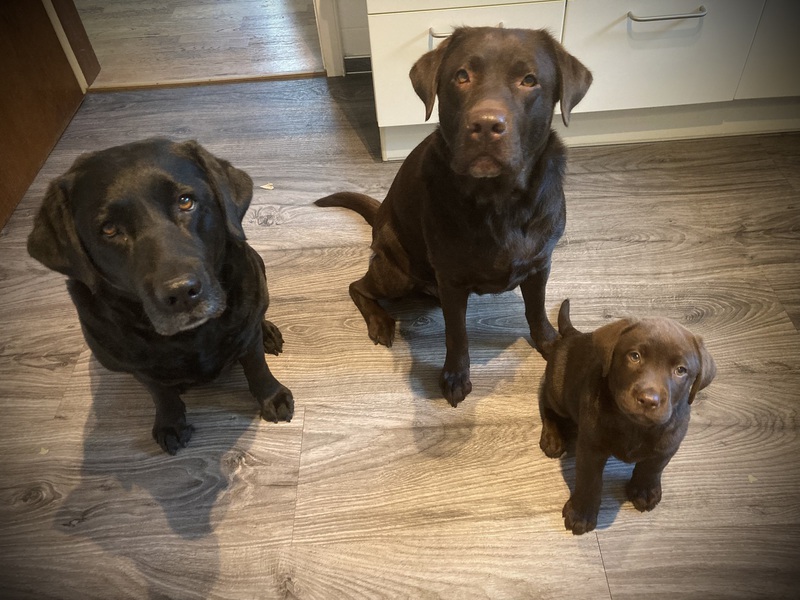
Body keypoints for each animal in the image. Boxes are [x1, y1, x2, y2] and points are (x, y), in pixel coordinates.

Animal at [28, 138, 294, 454]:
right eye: (109, 229)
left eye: (185, 201)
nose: (181, 292)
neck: (191, 337)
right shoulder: (138, 368)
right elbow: (160, 393)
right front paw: (170, 423)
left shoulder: (245, 332)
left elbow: (256, 366)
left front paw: (272, 396)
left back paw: (268, 332)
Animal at [316, 27, 592, 406]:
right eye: (462, 76)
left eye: (529, 80)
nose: (487, 125)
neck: (498, 200)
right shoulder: (452, 281)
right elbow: (457, 333)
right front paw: (455, 377)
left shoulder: (540, 263)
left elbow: (536, 308)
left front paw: (551, 344)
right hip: (397, 271)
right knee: (357, 286)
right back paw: (381, 322)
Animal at [538, 299, 716, 534]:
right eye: (635, 356)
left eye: (681, 370)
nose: (649, 400)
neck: (634, 426)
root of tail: (573, 334)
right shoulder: (591, 448)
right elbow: (589, 481)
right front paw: (581, 513)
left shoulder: (669, 443)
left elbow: (653, 468)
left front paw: (644, 490)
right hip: (557, 392)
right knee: (546, 405)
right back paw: (552, 438)